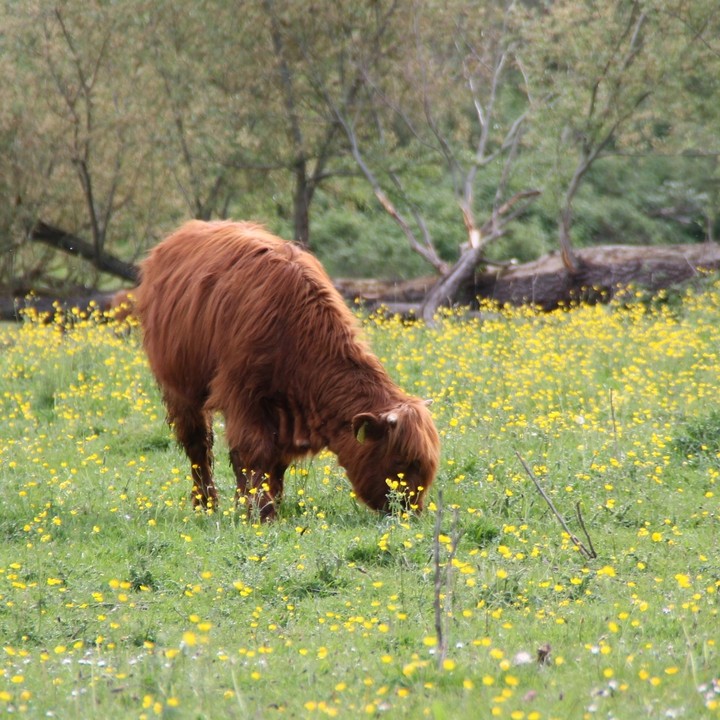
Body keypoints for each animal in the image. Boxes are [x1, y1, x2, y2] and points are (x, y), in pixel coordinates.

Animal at [135, 220, 440, 520]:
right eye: (402, 461)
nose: (412, 513)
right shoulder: (244, 396)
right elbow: (253, 451)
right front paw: (263, 512)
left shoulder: (284, 414)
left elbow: (274, 460)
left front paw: (268, 503)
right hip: (179, 386)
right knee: (198, 444)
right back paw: (205, 504)